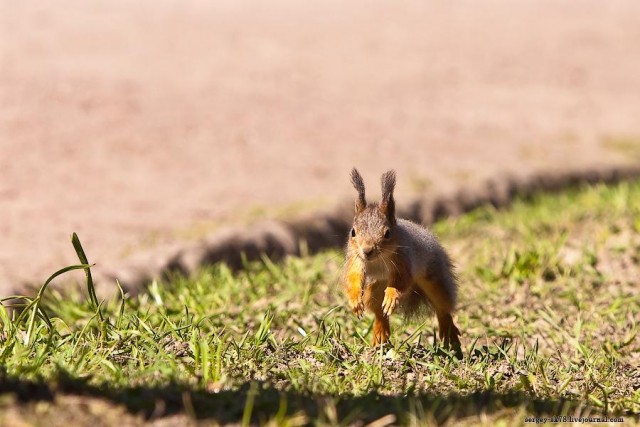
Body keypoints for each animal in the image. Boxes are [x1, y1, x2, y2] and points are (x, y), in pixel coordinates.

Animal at [342, 169, 462, 352]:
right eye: (353, 232)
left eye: (387, 233)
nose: (367, 250)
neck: (378, 260)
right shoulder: (356, 259)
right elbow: (352, 278)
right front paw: (355, 300)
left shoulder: (403, 259)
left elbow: (401, 280)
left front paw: (392, 296)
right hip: (374, 290)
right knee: (380, 313)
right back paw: (380, 332)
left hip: (435, 280)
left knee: (443, 307)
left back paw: (448, 330)